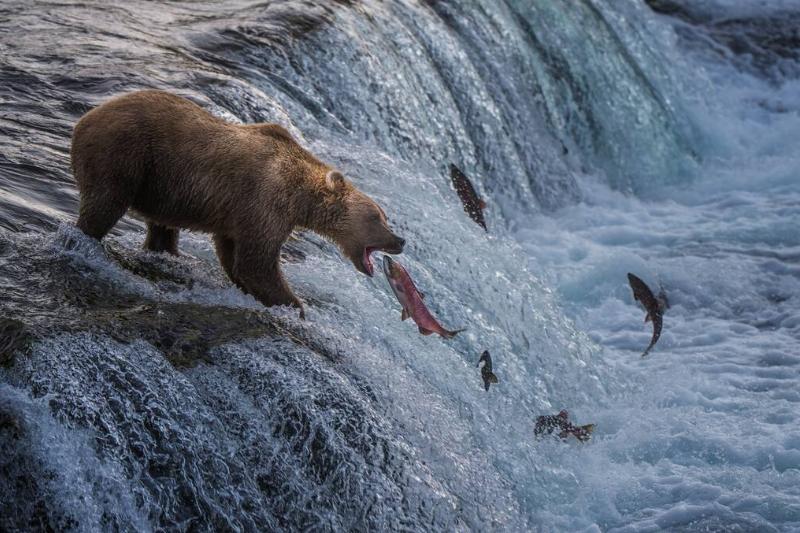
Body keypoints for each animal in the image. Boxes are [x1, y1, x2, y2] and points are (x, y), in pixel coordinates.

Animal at [70, 90, 405, 316]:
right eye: (378, 217)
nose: (400, 240)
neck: (300, 198)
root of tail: (85, 118)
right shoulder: (265, 201)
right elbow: (257, 262)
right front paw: (295, 306)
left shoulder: (240, 213)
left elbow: (234, 256)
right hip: (124, 154)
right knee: (105, 204)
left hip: (159, 184)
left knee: (160, 226)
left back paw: (166, 253)